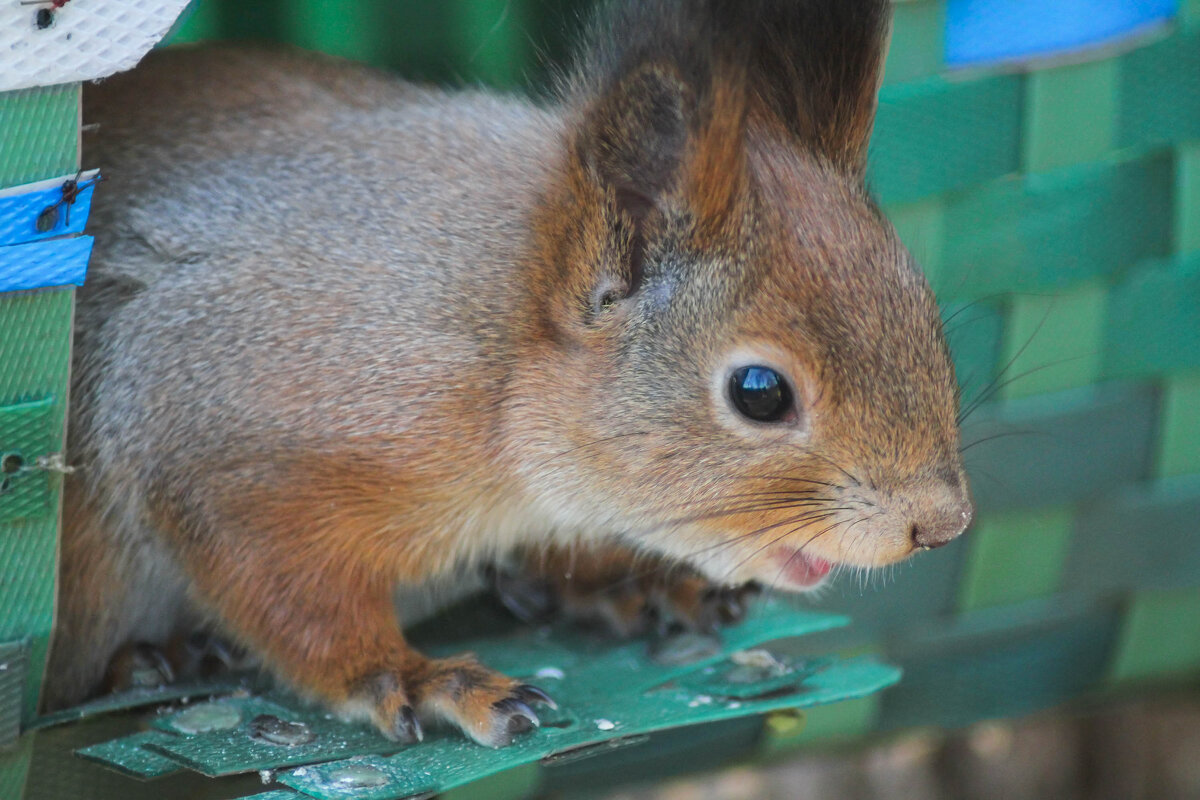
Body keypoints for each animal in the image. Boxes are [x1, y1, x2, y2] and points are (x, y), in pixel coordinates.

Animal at [46, 1, 974, 753]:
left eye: (922, 305)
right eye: (759, 393)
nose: (941, 524)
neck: (499, 353)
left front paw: (627, 579)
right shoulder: (230, 426)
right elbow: (283, 591)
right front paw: (413, 676)